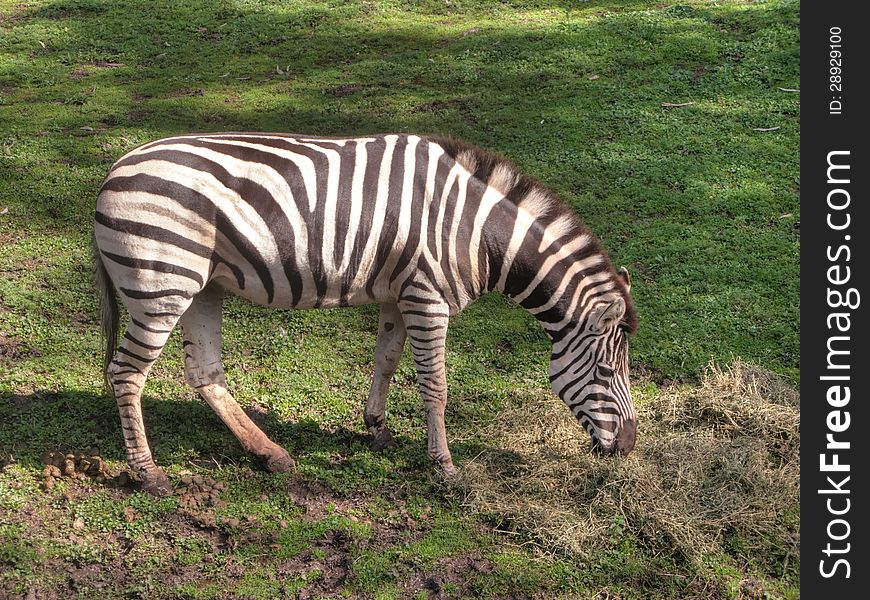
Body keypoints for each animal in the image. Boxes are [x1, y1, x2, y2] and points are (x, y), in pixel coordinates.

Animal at [93, 134, 640, 494]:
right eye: (607, 372)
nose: (629, 448)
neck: (476, 231)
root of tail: (113, 171)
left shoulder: (400, 294)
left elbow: (386, 360)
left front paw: (376, 427)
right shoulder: (427, 296)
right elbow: (435, 384)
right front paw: (444, 464)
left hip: (202, 286)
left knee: (204, 373)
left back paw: (271, 454)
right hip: (162, 283)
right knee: (126, 374)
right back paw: (149, 473)